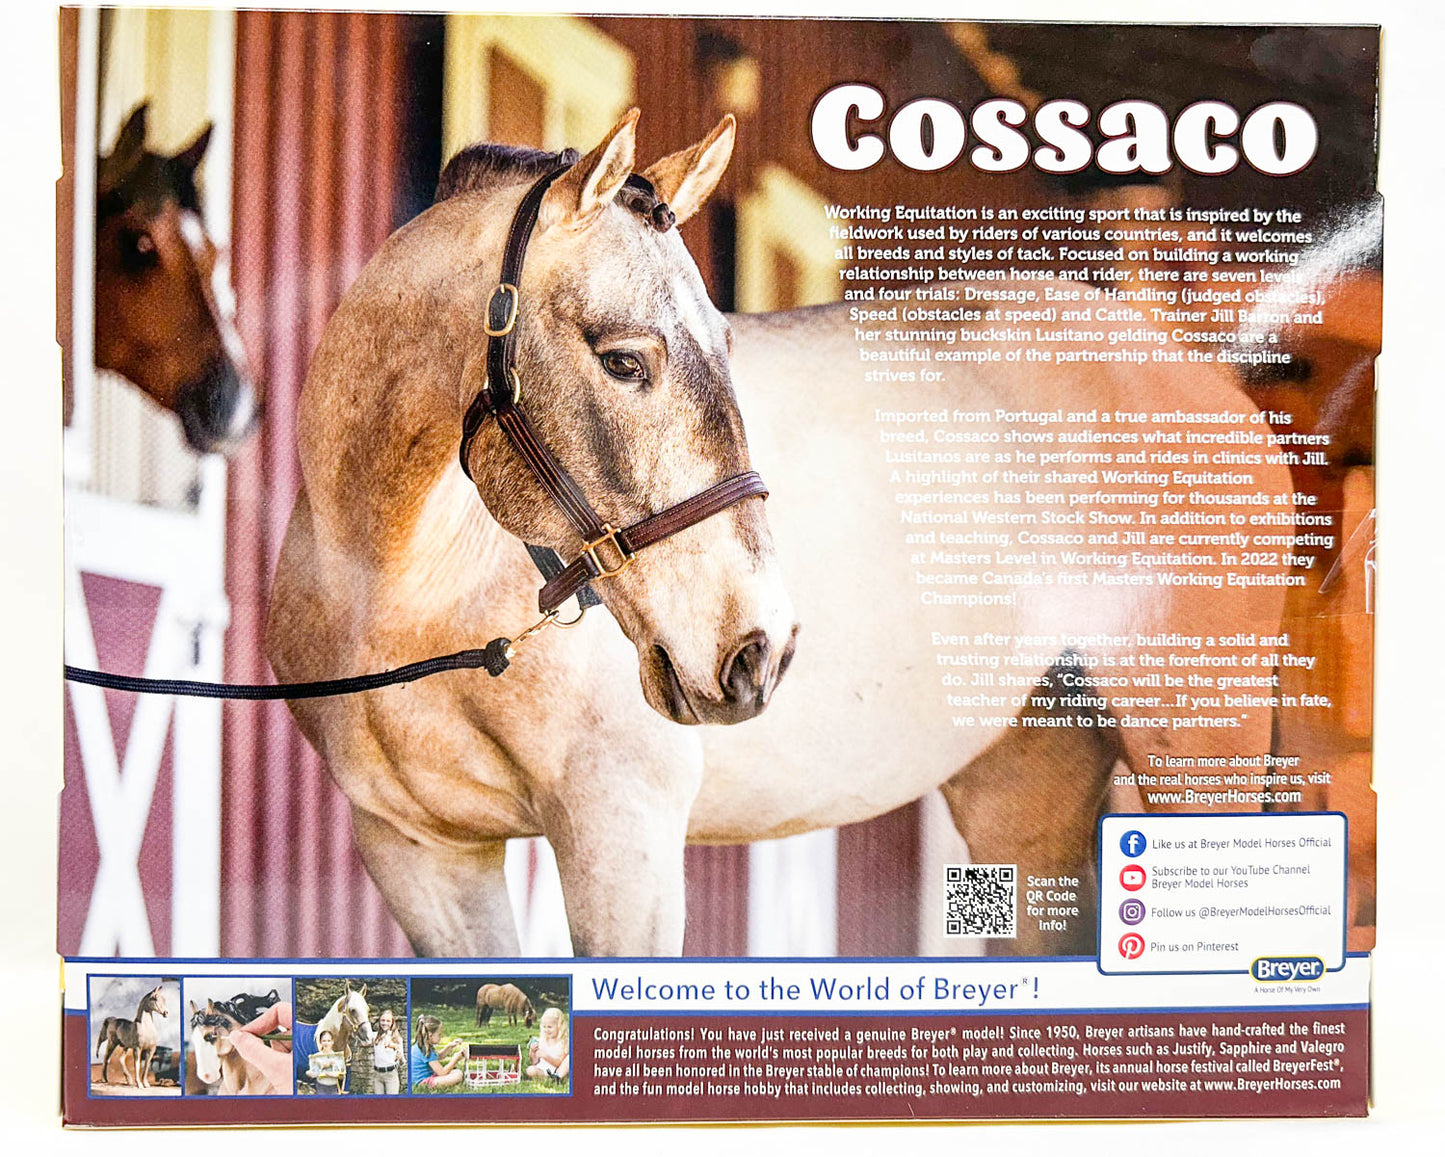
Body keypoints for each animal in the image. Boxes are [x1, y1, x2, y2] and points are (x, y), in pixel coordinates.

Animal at [265, 110, 1293, 959]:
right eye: (624, 360)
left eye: (725, 343)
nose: (756, 650)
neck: (396, 585)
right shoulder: (421, 854)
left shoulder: (620, 833)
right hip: (1025, 800)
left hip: (1197, 764)